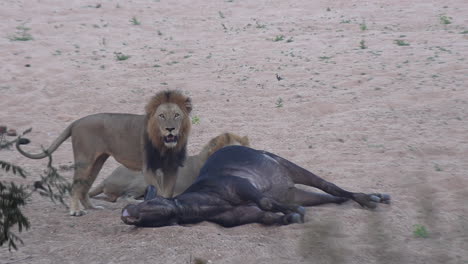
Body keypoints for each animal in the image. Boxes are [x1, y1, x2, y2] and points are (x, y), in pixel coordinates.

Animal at [16, 89, 192, 216]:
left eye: (177, 115)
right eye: (161, 116)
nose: (170, 129)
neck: (165, 146)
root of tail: (76, 122)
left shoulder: (172, 168)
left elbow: (167, 192)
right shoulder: (147, 168)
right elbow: (158, 191)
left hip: (97, 162)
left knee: (84, 187)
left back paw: (93, 207)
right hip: (84, 160)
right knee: (75, 186)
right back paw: (76, 211)